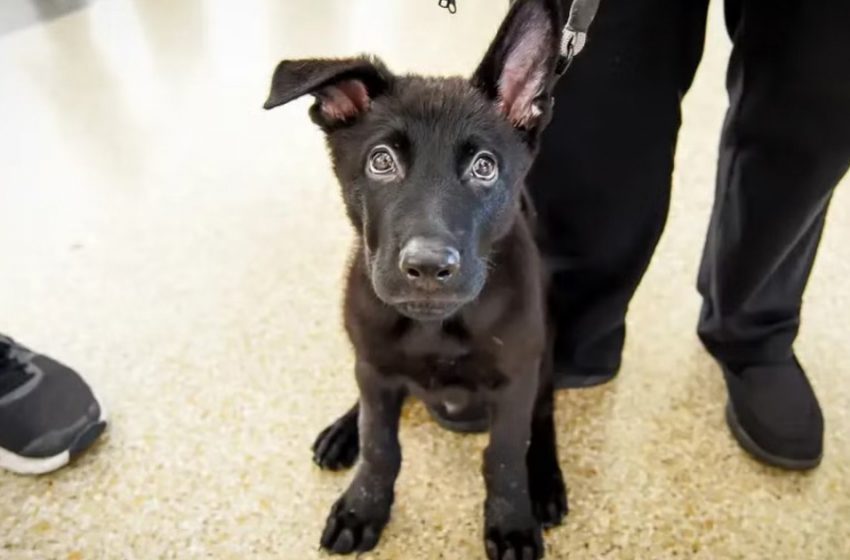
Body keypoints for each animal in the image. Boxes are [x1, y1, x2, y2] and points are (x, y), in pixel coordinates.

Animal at [264, 2, 568, 556]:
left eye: (484, 167)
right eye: (381, 161)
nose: (428, 267)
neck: (435, 327)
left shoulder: (516, 380)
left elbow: (505, 457)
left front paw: (513, 521)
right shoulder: (375, 369)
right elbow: (380, 445)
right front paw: (363, 507)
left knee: (544, 414)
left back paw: (546, 480)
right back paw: (342, 430)